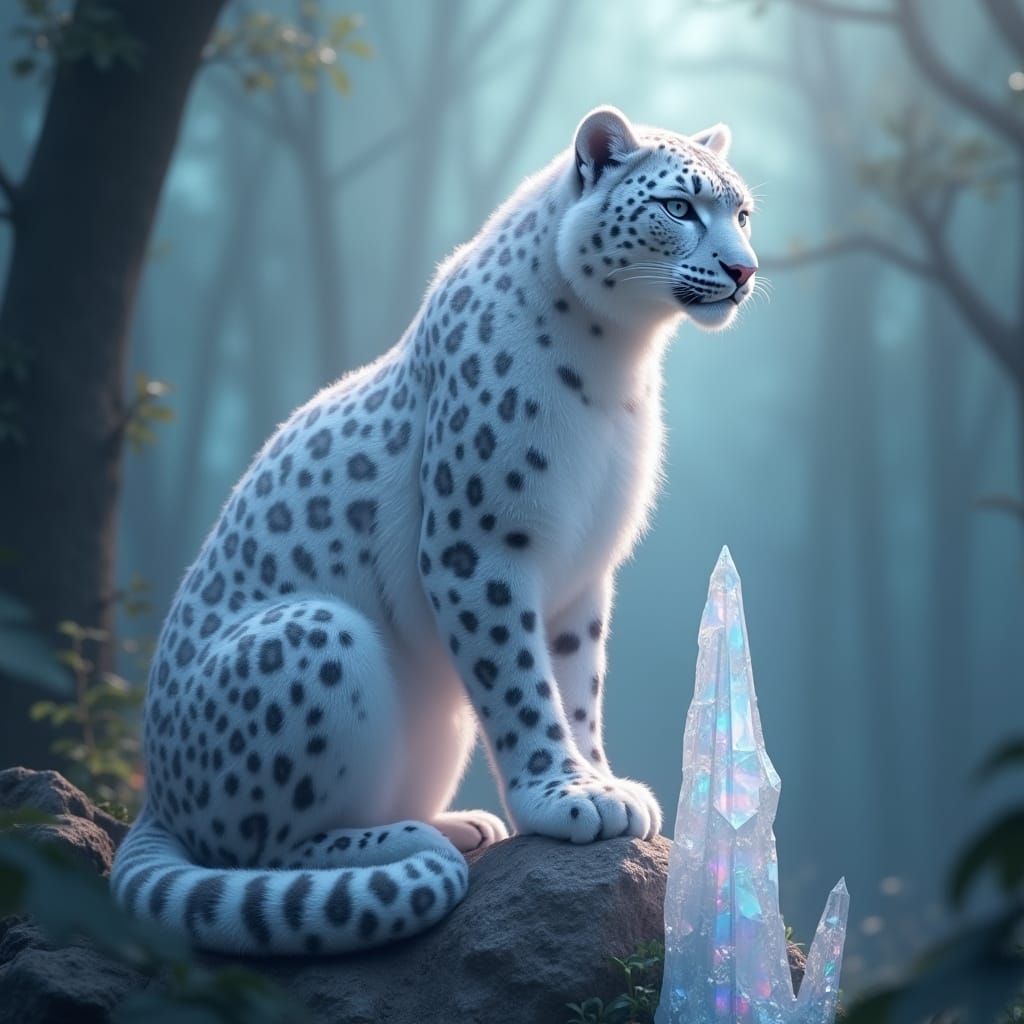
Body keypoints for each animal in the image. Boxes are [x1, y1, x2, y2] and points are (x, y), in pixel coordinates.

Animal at [110, 106, 759, 955]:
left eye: (742, 213)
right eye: (680, 207)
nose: (745, 270)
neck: (620, 363)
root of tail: (153, 793)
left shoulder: (581, 574)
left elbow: (576, 684)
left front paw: (602, 781)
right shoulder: (481, 546)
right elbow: (521, 686)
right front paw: (565, 796)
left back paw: (460, 823)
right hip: (314, 633)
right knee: (254, 846)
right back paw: (408, 839)